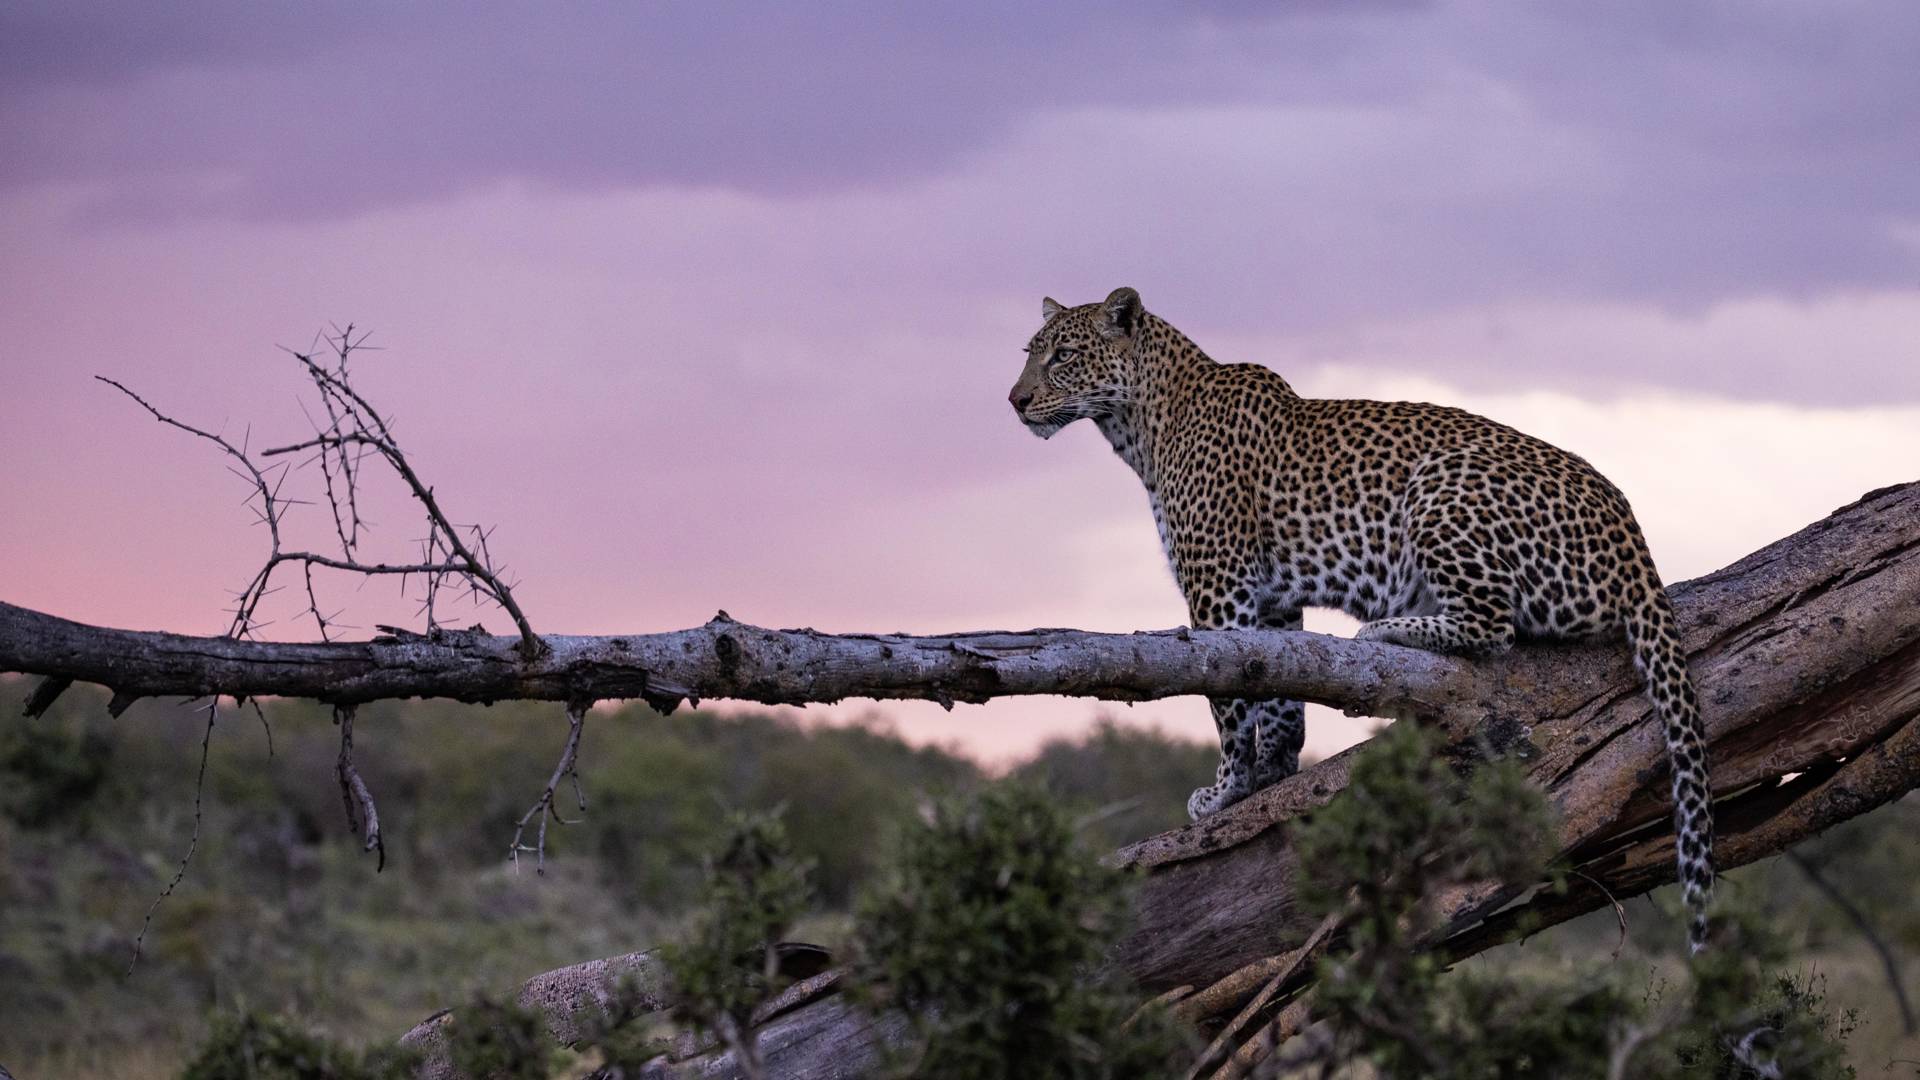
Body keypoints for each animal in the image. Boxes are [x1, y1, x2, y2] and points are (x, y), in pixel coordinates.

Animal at [1013, 286, 1720, 949]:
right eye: (1030, 352)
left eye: (1063, 356)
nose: (1016, 401)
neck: (1142, 425)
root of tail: (1635, 544)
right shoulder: (1270, 601)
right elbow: (1276, 694)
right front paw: (1271, 775)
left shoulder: (1217, 585)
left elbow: (1228, 701)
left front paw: (1225, 792)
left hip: (1442, 485)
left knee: (1493, 625)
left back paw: (1386, 629)